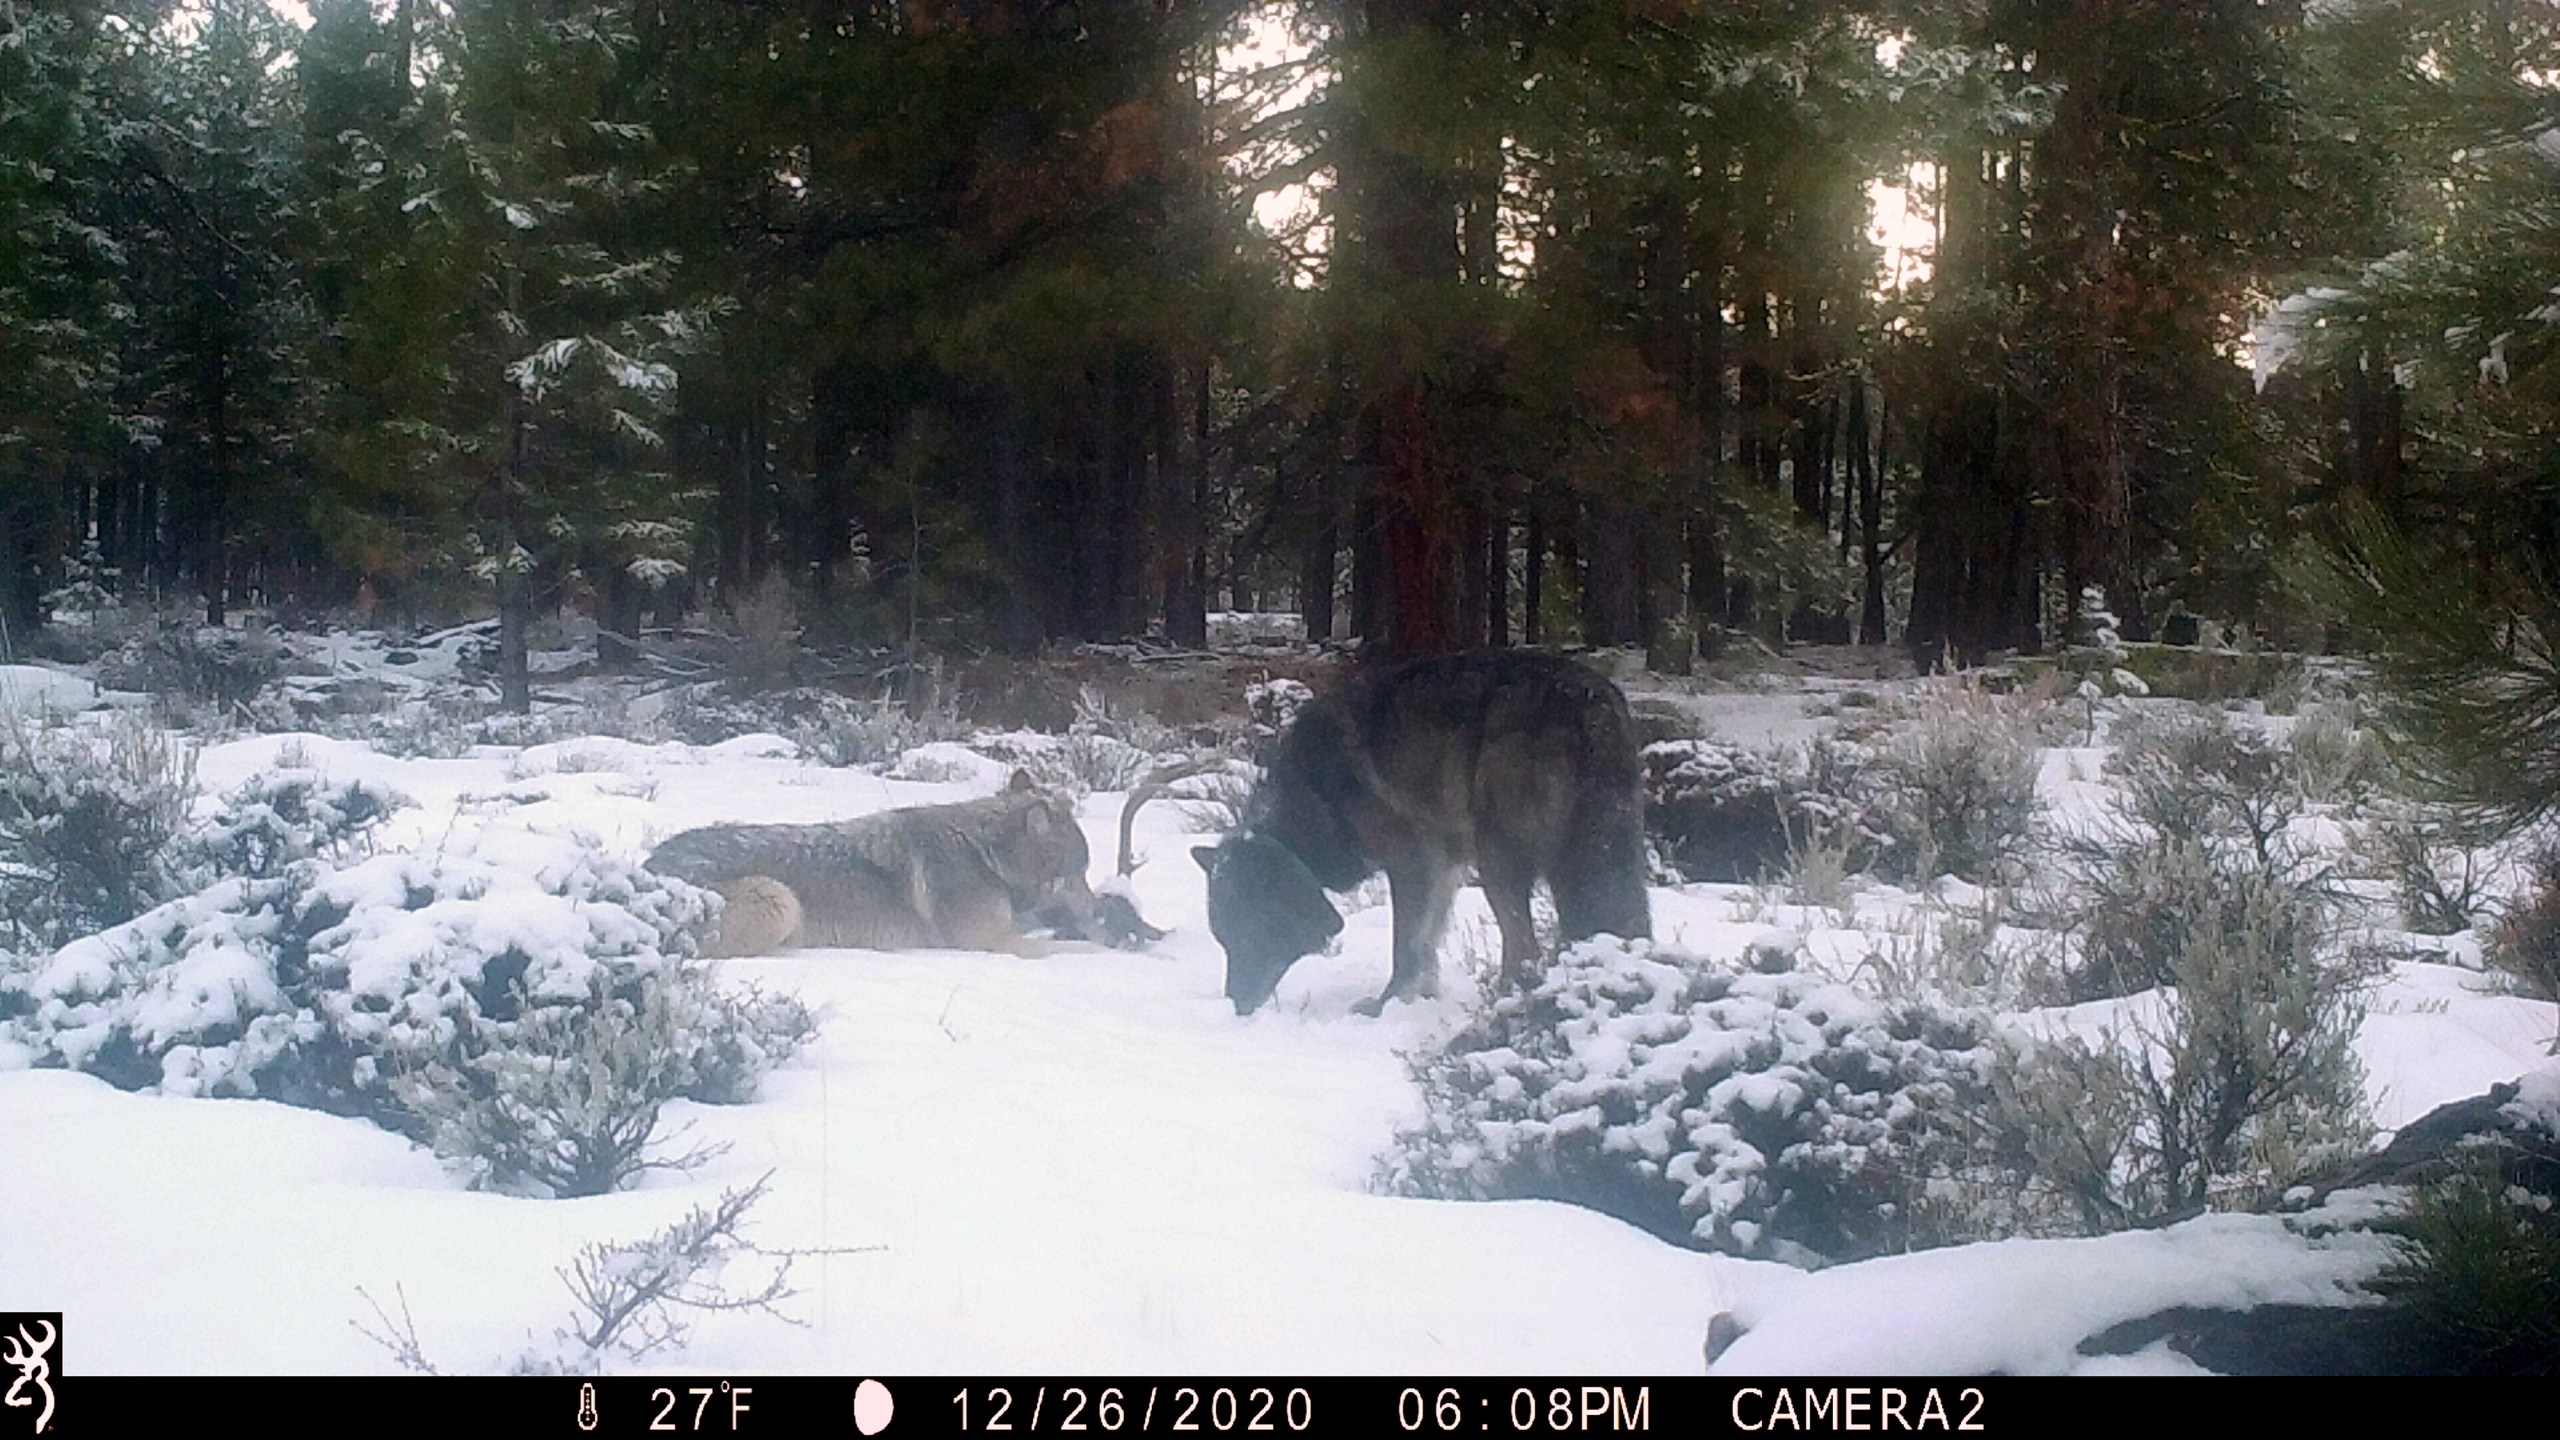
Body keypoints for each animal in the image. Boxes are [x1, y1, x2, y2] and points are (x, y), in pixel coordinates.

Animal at [645, 768, 1095, 958]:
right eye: (1081, 874)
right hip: (780, 901)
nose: (1098, 908)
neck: (985, 851)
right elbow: (1070, 950)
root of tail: (646, 869)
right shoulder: (992, 943)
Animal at [1182, 648, 1658, 1009]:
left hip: (1499, 865)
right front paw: (1419, 1000)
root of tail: (1591, 702)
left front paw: (1384, 1006)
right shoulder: (1444, 869)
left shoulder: (1412, 862)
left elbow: (1406, 946)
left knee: (1524, 950)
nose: (1237, 1006)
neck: (1316, 794)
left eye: (1250, 932)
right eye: (1222, 939)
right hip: (1609, 857)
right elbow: (1427, 945)